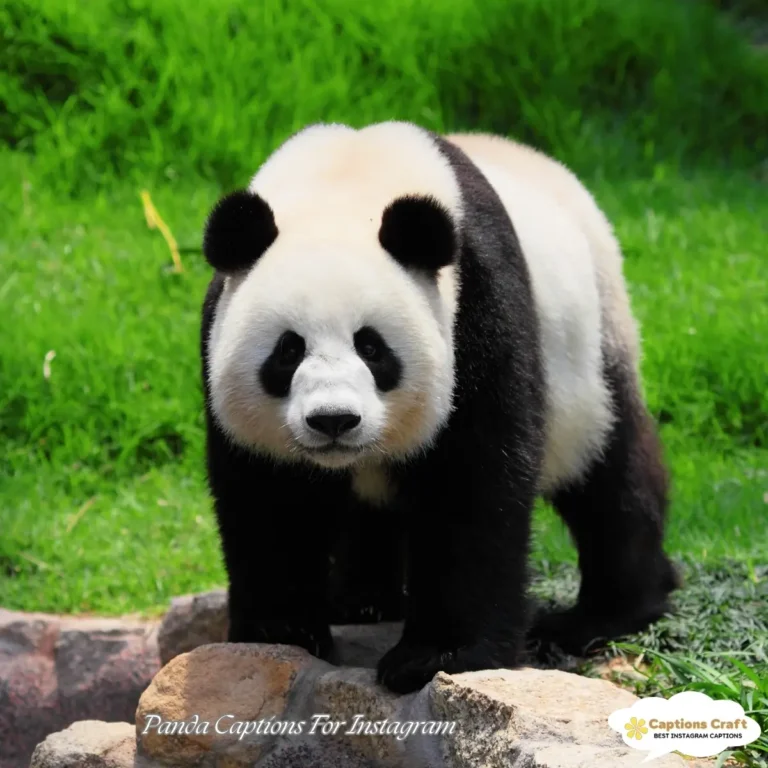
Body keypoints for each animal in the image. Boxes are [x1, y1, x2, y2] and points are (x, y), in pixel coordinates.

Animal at [199, 120, 680, 695]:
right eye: (288, 351)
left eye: (372, 347)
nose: (334, 420)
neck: (345, 184)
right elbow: (270, 496)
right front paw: (282, 630)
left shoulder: (478, 305)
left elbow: (472, 481)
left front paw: (435, 657)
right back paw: (362, 599)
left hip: (592, 351)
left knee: (612, 474)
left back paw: (604, 614)